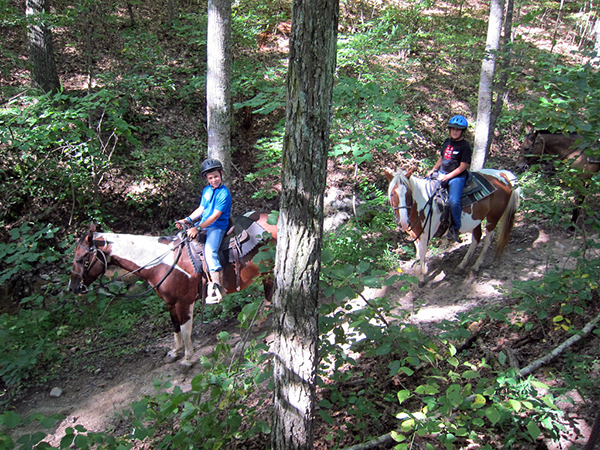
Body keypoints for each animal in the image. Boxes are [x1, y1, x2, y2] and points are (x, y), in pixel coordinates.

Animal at [69, 212, 276, 366]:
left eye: (82, 259)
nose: (73, 287)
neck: (162, 261)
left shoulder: (184, 302)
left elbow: (185, 329)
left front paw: (187, 357)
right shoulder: (170, 302)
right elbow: (175, 326)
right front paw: (175, 351)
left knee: (269, 294)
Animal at [384, 169, 520, 278]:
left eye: (409, 193)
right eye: (392, 194)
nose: (403, 222)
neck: (424, 203)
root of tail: (502, 175)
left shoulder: (424, 237)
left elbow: (421, 255)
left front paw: (421, 278)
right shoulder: (416, 236)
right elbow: (418, 255)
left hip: (493, 217)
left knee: (487, 240)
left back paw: (476, 266)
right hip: (477, 220)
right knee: (476, 238)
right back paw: (461, 266)